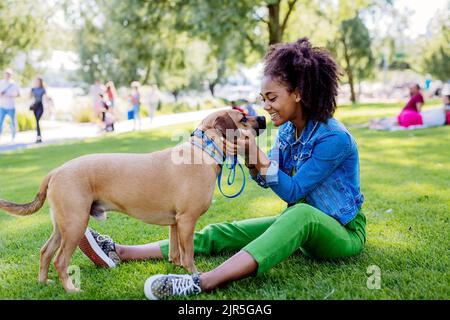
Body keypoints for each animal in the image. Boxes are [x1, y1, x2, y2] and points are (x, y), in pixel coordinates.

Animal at [0, 110, 266, 292]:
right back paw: (70, 289)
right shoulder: (187, 220)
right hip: (75, 225)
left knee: (45, 252)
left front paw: (177, 272)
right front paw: (193, 275)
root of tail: (55, 171)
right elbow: (188, 254)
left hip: (63, 226)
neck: (204, 149)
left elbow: (175, 253)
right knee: (60, 260)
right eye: (243, 118)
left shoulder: (176, 223)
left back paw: (43, 282)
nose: (263, 118)